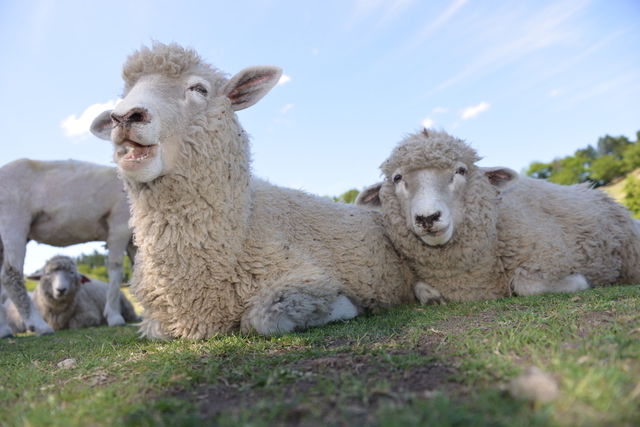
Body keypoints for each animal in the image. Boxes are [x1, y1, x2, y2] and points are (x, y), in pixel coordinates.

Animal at [90, 41, 420, 342]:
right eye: (124, 95)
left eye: (199, 89)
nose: (124, 117)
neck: (245, 223)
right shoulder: (159, 320)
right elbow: (156, 331)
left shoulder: (305, 277)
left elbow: (262, 319)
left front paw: (347, 307)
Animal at [356, 129, 640, 302]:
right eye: (397, 178)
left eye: (461, 171)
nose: (428, 218)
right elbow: (418, 288)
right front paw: (431, 296)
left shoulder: (549, 255)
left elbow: (526, 285)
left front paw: (581, 281)